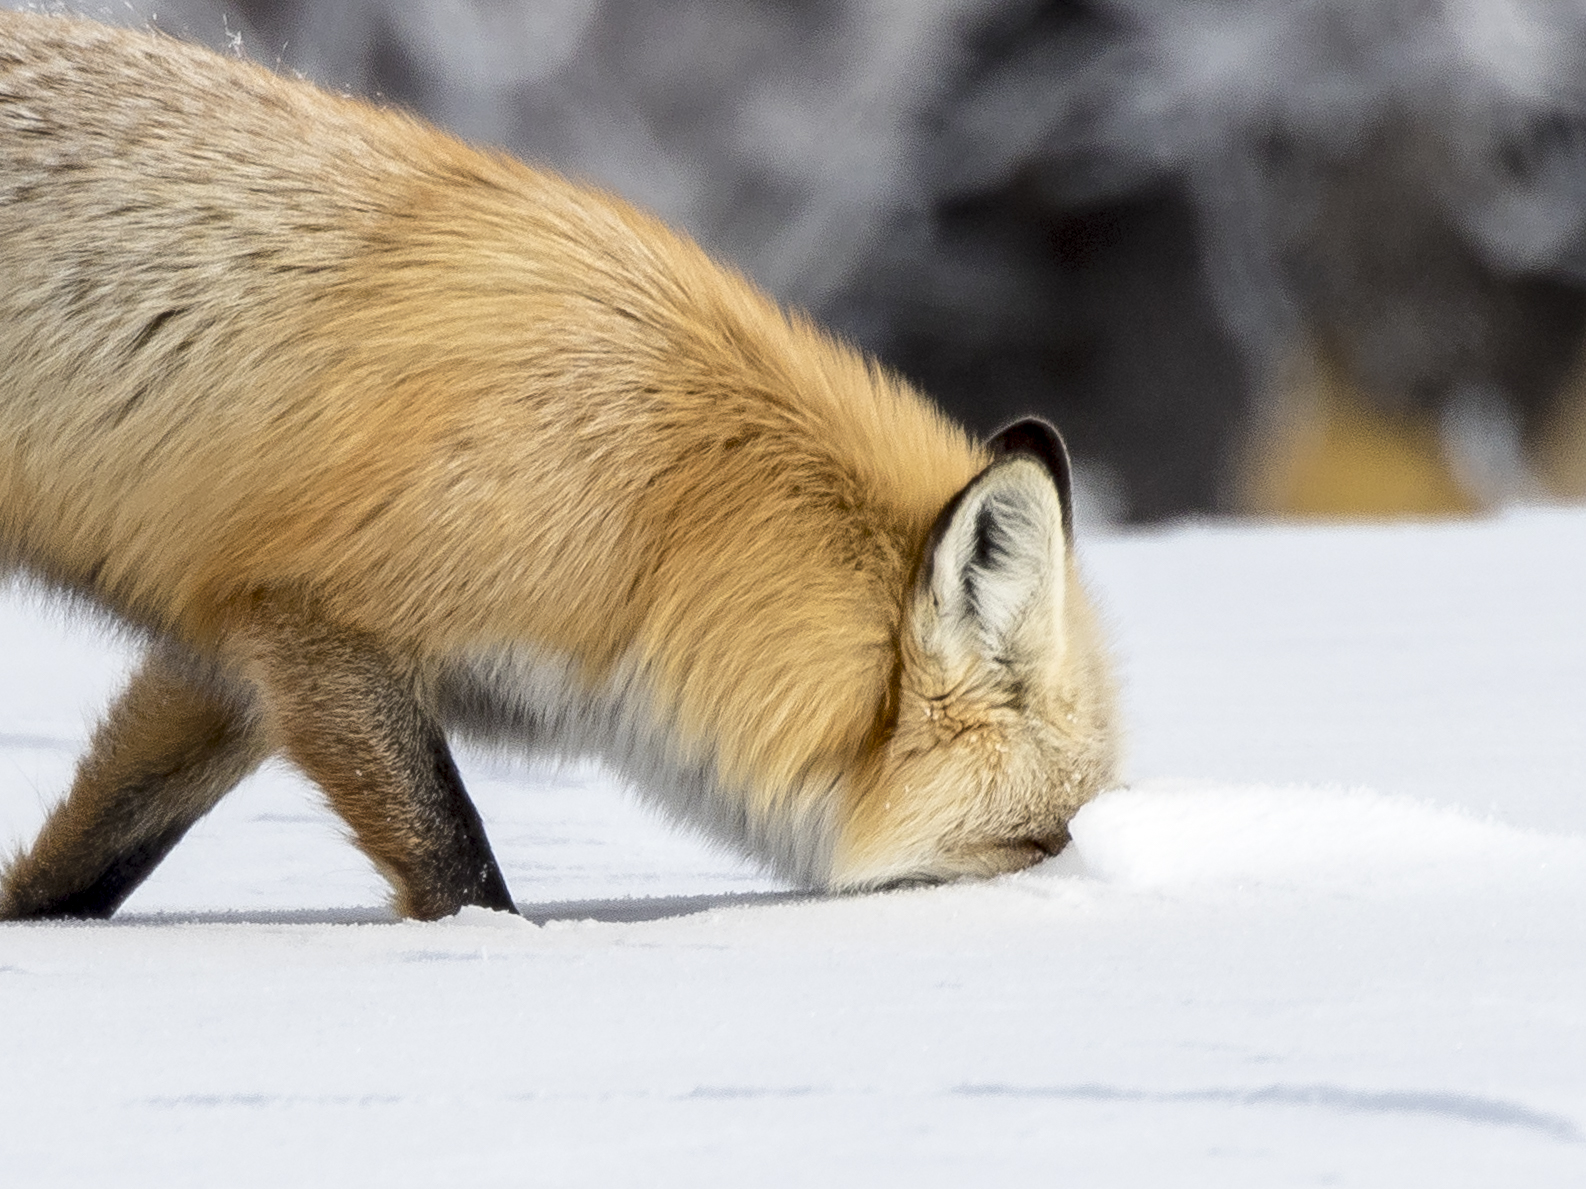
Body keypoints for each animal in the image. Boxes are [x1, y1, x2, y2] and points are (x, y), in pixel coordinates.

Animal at [0, 10, 1116, 921]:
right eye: (1037, 841)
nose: (1099, 890)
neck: (664, 506)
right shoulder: (313, 616)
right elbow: (459, 867)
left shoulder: (222, 645)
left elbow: (94, 860)